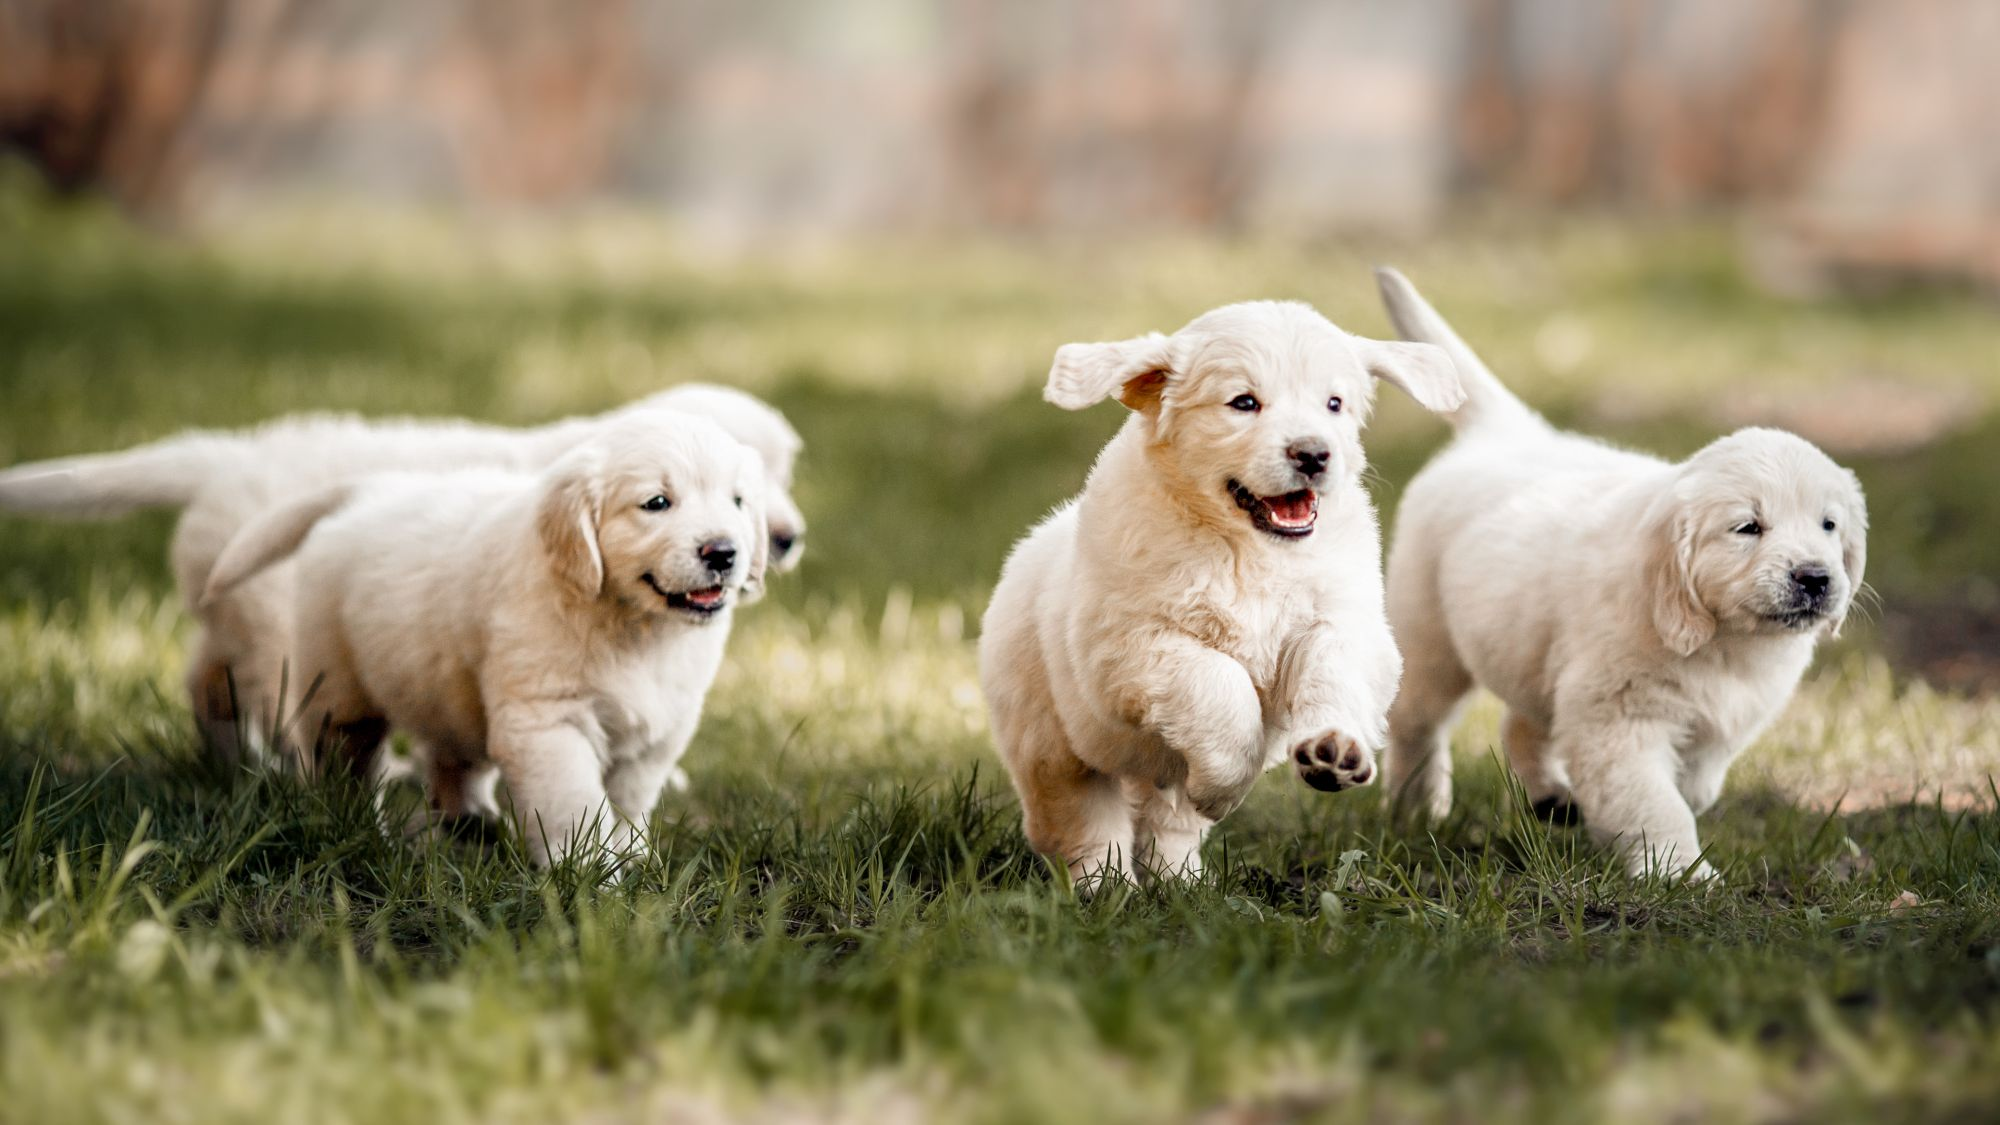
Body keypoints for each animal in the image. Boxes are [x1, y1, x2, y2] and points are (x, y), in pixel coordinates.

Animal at [0, 382, 804, 760]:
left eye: (781, 473)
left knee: (207, 679)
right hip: (279, 617)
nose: (786, 539)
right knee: (278, 700)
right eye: (663, 500)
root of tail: (226, 456)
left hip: (230, 603)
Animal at [201, 406, 764, 860]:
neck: (635, 626)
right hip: (338, 690)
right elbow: (576, 805)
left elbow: (629, 803)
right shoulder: (547, 723)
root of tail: (370, 490)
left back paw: (470, 823)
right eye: (656, 503)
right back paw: (355, 825)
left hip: (447, 690)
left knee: (452, 759)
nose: (723, 552)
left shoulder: (659, 732)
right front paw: (590, 878)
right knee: (344, 760)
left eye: (738, 501)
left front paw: (633, 858)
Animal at [984, 298, 1472, 884]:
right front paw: (1226, 784)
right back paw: (1107, 888)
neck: (1246, 547)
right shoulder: (1129, 645)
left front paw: (1334, 749)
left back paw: (1181, 882)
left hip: (1154, 780)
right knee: (1082, 822)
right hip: (1051, 744)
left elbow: (1334, 670)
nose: (1314, 454)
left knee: (1169, 823)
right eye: (1244, 403)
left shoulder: (1340, 618)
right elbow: (1218, 682)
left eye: (1334, 403)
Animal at [1368, 266, 1864, 880]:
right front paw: (1679, 873)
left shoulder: (1720, 720)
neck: (1725, 642)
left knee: (1521, 724)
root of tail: (1508, 433)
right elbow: (1655, 801)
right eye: (1748, 527)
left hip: (1532, 652)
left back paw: (1551, 799)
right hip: (1430, 639)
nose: (1815, 578)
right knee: (1416, 725)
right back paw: (1414, 807)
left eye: (1829, 525)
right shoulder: (1619, 719)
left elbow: (1696, 783)